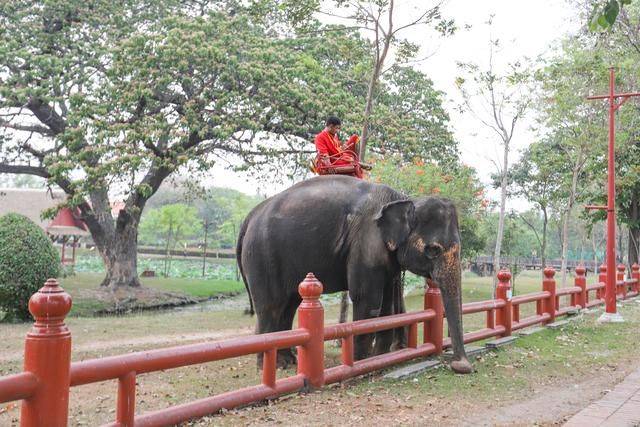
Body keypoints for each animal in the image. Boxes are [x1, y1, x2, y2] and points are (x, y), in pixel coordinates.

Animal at [238, 175, 472, 374]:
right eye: (433, 250)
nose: (461, 366)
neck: (403, 198)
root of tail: (250, 217)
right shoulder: (366, 242)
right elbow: (367, 299)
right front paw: (362, 361)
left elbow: (387, 306)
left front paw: (380, 358)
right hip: (261, 256)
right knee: (271, 307)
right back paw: (271, 367)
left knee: (288, 306)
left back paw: (288, 362)